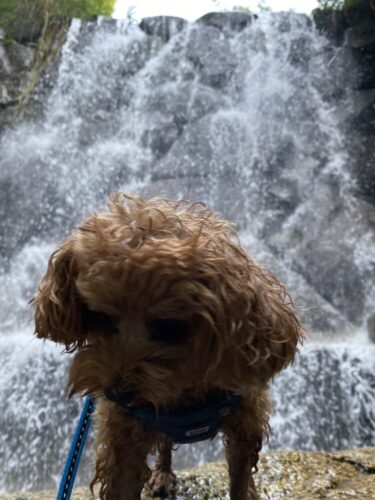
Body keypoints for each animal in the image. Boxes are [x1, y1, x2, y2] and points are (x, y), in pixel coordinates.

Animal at [31, 194, 302, 500]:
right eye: (99, 316)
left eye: (169, 328)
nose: (117, 394)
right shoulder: (124, 439)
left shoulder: (245, 423)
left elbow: (240, 483)